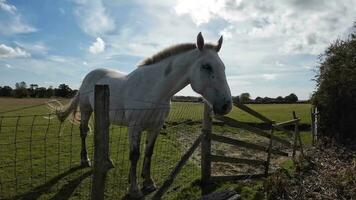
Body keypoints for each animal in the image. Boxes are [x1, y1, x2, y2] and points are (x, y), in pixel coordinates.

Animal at [57, 32, 232, 198]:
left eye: (224, 67)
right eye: (207, 66)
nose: (226, 106)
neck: (154, 90)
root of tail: (89, 76)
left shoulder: (155, 127)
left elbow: (148, 152)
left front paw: (148, 182)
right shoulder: (135, 127)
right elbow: (135, 155)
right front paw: (134, 189)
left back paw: (107, 161)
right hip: (86, 110)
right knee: (83, 132)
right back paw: (85, 160)